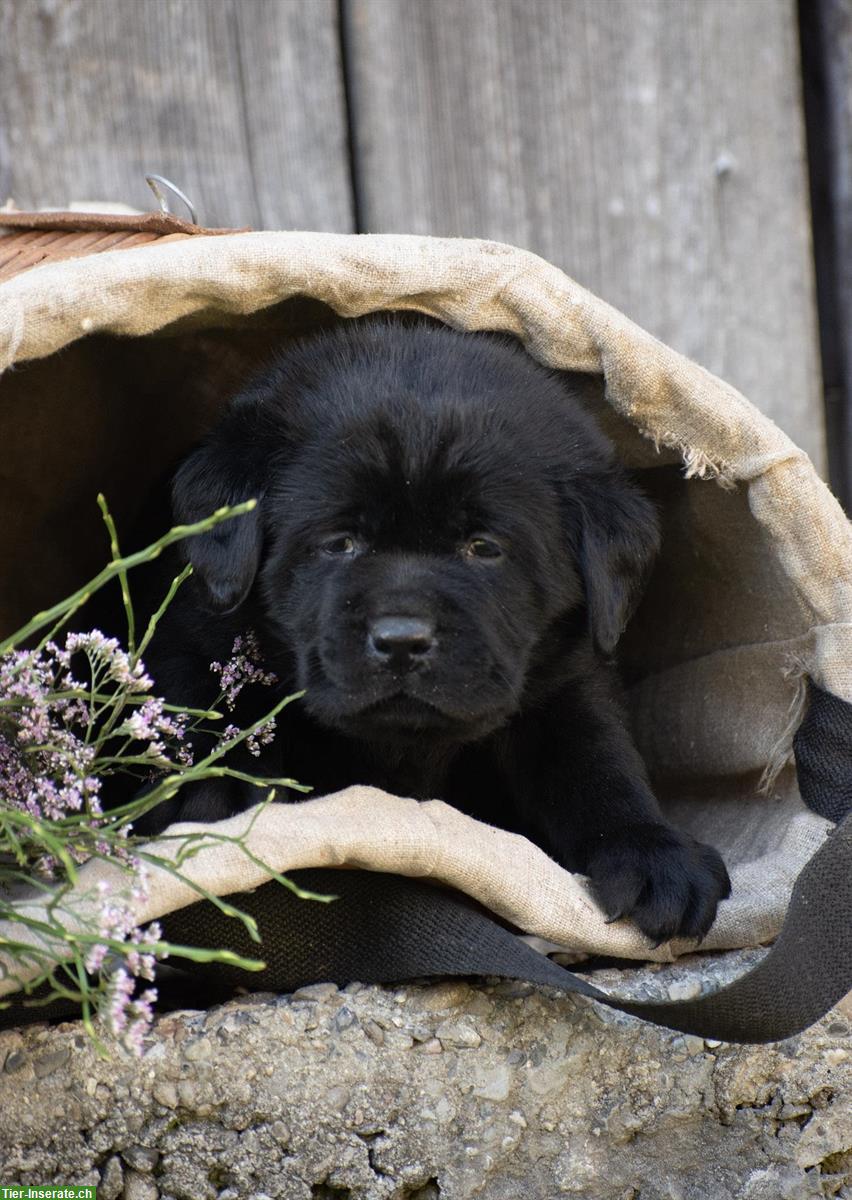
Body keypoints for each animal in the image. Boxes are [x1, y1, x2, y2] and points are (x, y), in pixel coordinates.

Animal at [143, 319, 729, 945]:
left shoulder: (567, 681)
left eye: (484, 547)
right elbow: (201, 699)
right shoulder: (192, 633)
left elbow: (595, 761)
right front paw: (216, 790)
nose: (402, 641)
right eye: (339, 542)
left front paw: (654, 854)